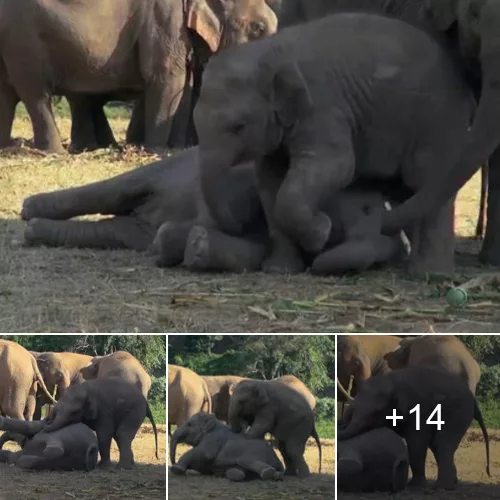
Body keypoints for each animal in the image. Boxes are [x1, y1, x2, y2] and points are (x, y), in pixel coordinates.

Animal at [0, 0, 278, 153]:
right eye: (258, 28)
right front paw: (155, 149)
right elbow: (167, 78)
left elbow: (185, 84)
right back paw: (56, 152)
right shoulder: (164, 20)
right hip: (23, 38)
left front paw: (175, 148)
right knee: (35, 93)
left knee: (7, 95)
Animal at [21, 146, 408, 276]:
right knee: (115, 190)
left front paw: (189, 246)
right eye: (367, 207)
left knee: (116, 227)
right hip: (167, 168)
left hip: (132, 231)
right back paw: (28, 212)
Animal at [338, 366, 490, 490]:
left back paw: (442, 487)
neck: (391, 381)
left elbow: (416, 442)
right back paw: (451, 484)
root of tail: (474, 401)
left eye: (375, 413)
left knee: (442, 443)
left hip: (459, 412)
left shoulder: (418, 409)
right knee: (438, 445)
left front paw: (415, 487)